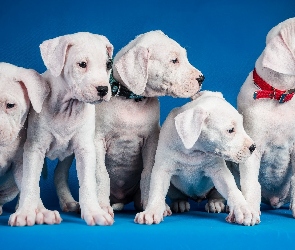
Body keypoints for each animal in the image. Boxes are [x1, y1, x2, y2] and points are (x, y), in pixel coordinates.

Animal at [8, 31, 115, 227]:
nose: (104, 89)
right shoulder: (34, 148)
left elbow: (88, 182)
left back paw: (68, 200)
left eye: (108, 65)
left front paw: (94, 212)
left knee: (59, 173)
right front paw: (25, 212)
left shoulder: (85, 149)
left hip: (67, 154)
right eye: (82, 64)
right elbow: (29, 181)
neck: (67, 109)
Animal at [54, 29, 205, 213]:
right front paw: (102, 207)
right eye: (174, 60)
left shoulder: (151, 141)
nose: (202, 78)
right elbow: (101, 174)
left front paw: (151, 206)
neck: (131, 101)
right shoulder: (97, 140)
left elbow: (148, 173)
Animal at [134, 91, 260, 226]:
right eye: (230, 130)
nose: (253, 147)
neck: (193, 152)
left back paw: (215, 202)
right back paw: (179, 202)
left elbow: (233, 190)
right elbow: (156, 191)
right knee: (177, 195)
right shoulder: (162, 169)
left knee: (217, 194)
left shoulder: (219, 171)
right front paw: (151, 211)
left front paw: (244, 210)